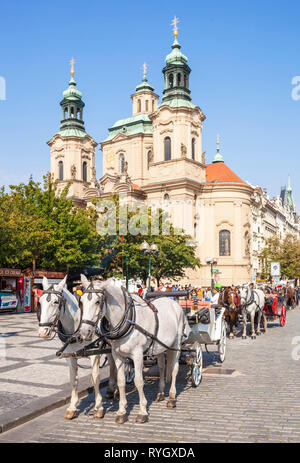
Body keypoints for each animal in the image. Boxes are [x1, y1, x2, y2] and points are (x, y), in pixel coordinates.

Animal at [37, 278, 117, 422]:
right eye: (39, 302)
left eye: (55, 302)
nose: (43, 332)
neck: (76, 329)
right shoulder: (70, 356)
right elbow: (73, 380)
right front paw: (72, 408)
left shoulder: (94, 355)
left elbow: (95, 378)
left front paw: (98, 407)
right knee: (113, 364)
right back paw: (110, 389)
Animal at [79, 278, 185, 426]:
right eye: (81, 302)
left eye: (98, 301)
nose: (84, 332)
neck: (127, 320)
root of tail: (173, 302)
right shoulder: (117, 355)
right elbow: (121, 381)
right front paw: (122, 411)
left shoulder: (137, 354)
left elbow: (139, 381)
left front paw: (142, 412)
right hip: (160, 346)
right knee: (162, 367)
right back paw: (160, 393)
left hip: (176, 344)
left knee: (174, 369)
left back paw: (172, 397)